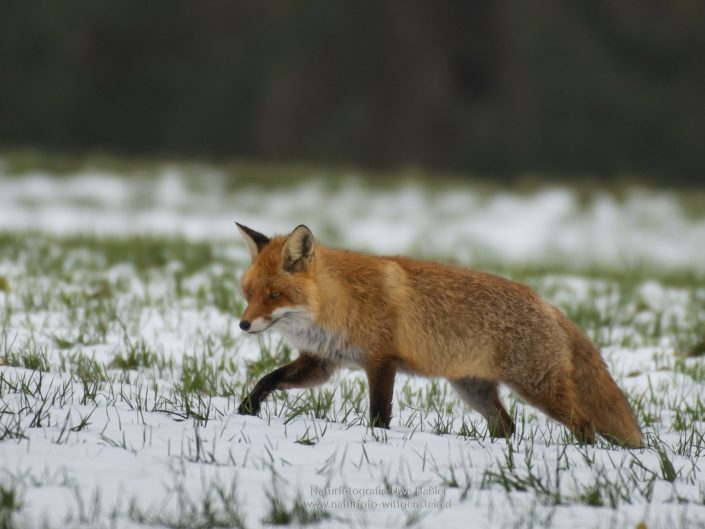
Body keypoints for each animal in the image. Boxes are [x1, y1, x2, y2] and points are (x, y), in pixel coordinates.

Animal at [234, 221, 640, 448]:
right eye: (249, 293)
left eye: (274, 295)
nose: (243, 325)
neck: (338, 302)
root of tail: (548, 304)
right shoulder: (321, 363)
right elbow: (267, 379)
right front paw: (245, 411)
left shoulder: (381, 360)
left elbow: (379, 413)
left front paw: (377, 440)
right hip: (473, 390)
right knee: (507, 425)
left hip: (538, 389)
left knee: (584, 424)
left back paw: (582, 455)